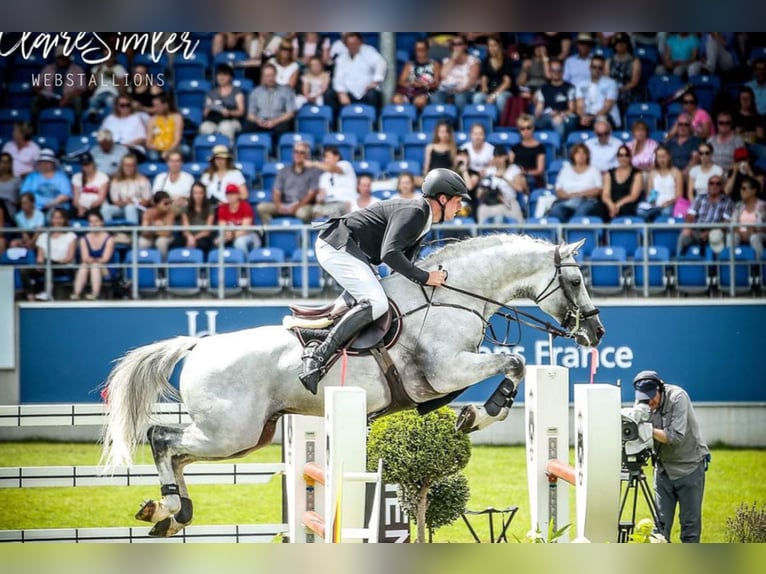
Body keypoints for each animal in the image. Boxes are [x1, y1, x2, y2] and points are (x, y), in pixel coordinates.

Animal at [100, 233, 604, 537]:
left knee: (177, 451)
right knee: (161, 438)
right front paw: (480, 413)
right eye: (576, 279)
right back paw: (168, 508)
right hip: (229, 433)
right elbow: (514, 362)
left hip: (248, 436)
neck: (450, 298)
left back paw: (170, 514)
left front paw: (471, 413)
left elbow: (510, 365)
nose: (596, 333)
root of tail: (198, 345)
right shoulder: (446, 371)